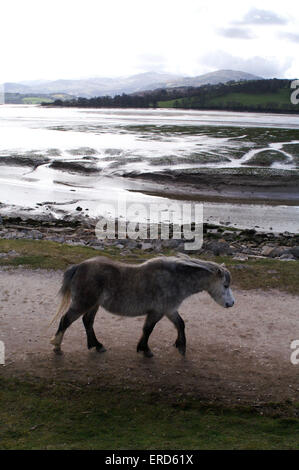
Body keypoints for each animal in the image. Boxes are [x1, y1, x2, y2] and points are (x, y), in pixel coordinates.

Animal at [50, 255, 236, 358]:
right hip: (83, 303)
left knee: (87, 322)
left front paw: (181, 347)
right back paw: (57, 346)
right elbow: (148, 329)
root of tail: (79, 266)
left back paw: (97, 345)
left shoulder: (169, 310)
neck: (174, 279)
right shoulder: (158, 311)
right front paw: (145, 350)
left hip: (93, 305)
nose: (231, 304)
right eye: (225, 285)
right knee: (66, 320)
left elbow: (180, 324)